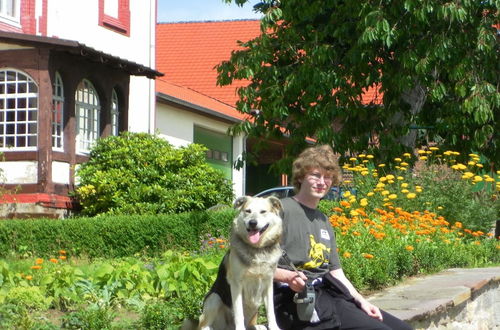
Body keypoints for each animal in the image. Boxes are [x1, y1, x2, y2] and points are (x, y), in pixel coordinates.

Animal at [184, 196, 286, 330]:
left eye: (263, 212)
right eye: (248, 211)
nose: (252, 223)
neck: (256, 249)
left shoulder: (268, 283)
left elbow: (271, 312)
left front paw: (274, 327)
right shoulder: (236, 284)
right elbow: (238, 312)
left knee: (251, 323)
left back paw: (257, 326)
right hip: (214, 298)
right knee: (203, 325)